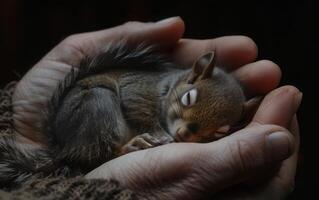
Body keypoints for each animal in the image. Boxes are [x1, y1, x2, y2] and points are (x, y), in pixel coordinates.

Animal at [42, 43, 246, 171]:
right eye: (188, 97)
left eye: (221, 131)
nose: (185, 134)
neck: (166, 87)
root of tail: (62, 147)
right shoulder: (138, 90)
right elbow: (140, 110)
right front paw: (161, 135)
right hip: (97, 104)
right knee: (97, 156)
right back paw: (132, 145)